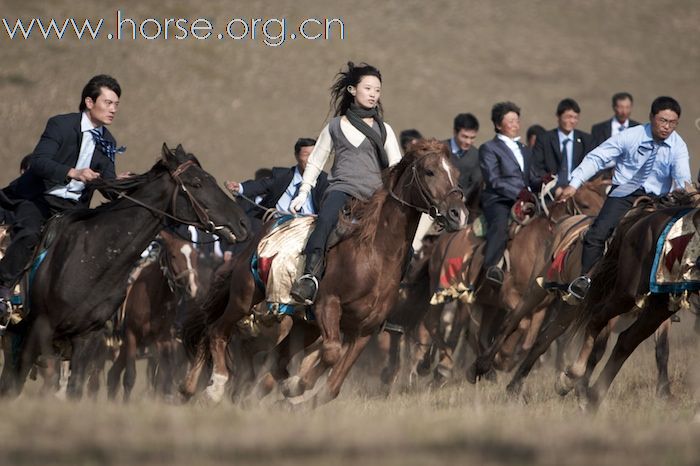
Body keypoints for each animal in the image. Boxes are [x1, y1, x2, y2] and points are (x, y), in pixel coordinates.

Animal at [0, 144, 250, 398]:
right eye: (196, 183)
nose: (242, 223)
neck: (91, 259)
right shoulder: (39, 329)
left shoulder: (87, 337)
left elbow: (76, 387)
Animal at [180, 138, 468, 404]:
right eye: (430, 171)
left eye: (457, 173)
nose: (459, 215)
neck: (373, 254)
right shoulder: (327, 306)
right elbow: (331, 352)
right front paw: (297, 385)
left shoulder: (364, 329)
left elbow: (332, 384)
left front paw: (297, 389)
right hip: (245, 298)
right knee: (217, 330)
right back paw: (214, 386)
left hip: (303, 325)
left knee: (272, 357)